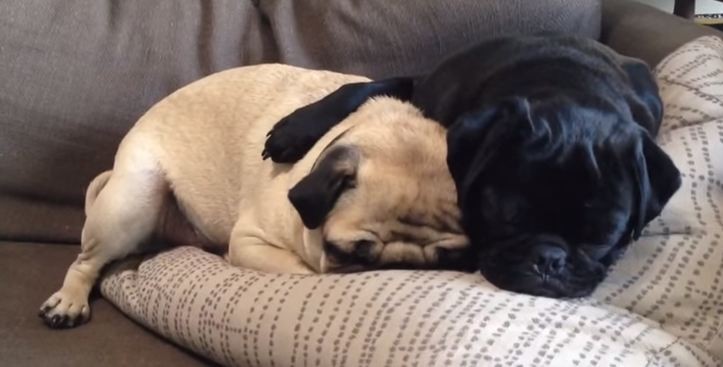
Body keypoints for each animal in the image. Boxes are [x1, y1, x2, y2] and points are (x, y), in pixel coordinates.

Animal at [39, 64, 470, 330]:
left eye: (456, 259)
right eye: (346, 251)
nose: (402, 266)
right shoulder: (251, 240)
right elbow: (306, 272)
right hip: (132, 201)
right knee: (86, 261)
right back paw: (68, 302)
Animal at [264, 35, 680, 300]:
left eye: (604, 237)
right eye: (504, 216)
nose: (549, 259)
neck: (568, 87)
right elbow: (361, 89)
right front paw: (294, 129)